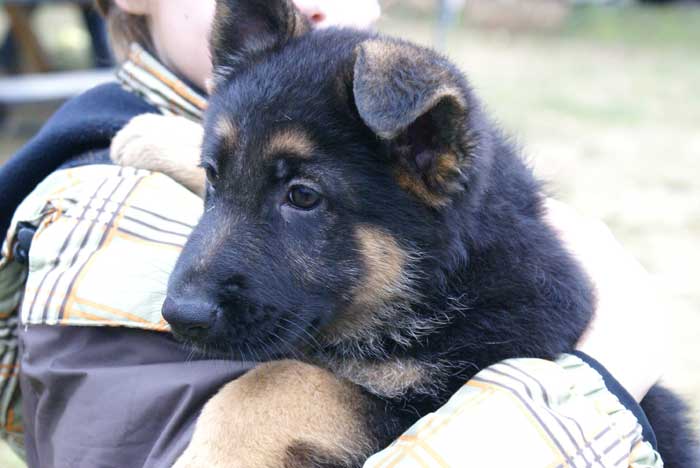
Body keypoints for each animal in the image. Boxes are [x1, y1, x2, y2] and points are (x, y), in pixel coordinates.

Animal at [156, 0, 696, 468]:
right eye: (213, 175)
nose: (180, 316)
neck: (443, 279)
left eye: (303, 196)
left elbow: (277, 381)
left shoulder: (435, 393)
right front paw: (149, 137)